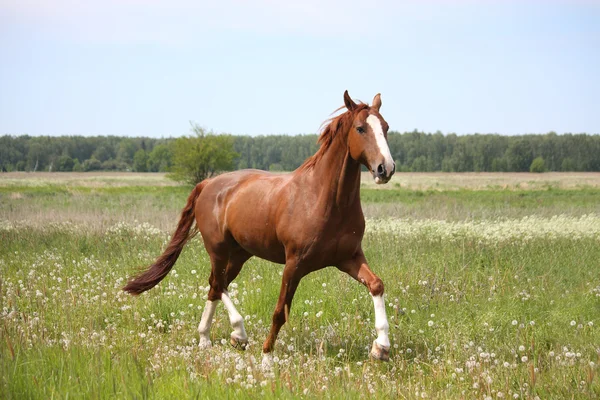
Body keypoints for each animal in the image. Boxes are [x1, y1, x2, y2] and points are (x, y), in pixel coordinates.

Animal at [124, 91, 396, 368]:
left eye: (386, 128)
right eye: (360, 128)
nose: (385, 168)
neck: (323, 199)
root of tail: (208, 183)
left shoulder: (348, 257)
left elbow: (377, 285)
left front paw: (381, 348)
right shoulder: (294, 264)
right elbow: (279, 312)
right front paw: (266, 358)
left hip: (240, 254)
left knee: (215, 285)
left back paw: (207, 339)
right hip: (218, 250)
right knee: (218, 283)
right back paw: (238, 333)